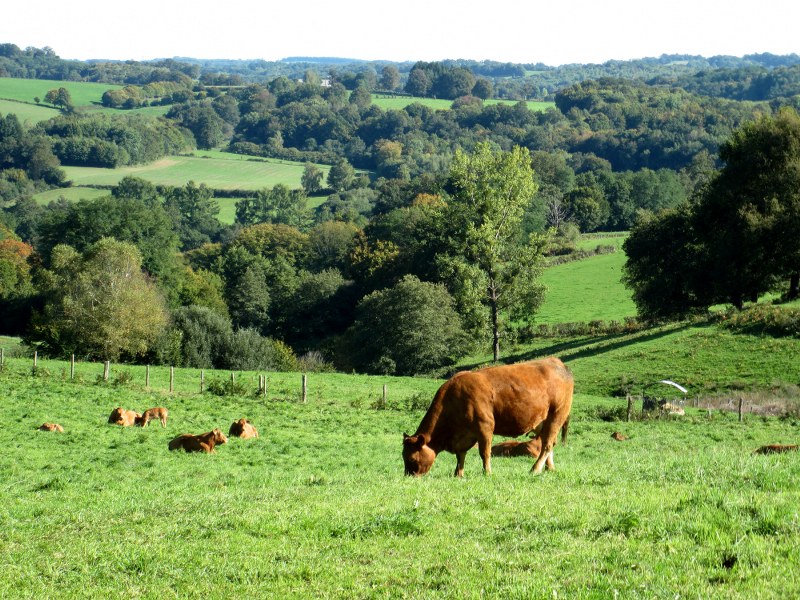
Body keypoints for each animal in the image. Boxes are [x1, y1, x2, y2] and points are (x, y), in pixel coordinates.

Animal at [404, 356, 572, 478]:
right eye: (403, 457)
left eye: (411, 459)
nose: (408, 476)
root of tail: (556, 362)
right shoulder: (463, 435)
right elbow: (460, 455)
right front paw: (458, 474)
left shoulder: (485, 426)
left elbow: (484, 452)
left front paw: (487, 473)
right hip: (540, 422)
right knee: (548, 443)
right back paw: (549, 469)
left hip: (557, 415)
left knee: (547, 444)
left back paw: (535, 469)